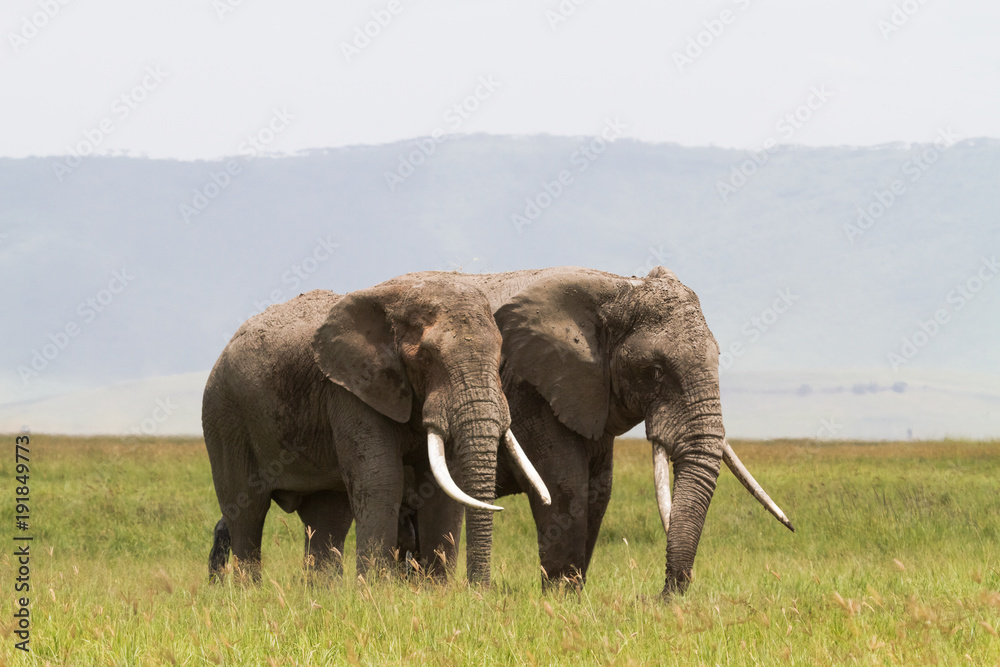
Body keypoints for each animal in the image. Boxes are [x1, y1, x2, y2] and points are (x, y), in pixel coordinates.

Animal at [202, 275, 549, 586]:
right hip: (224, 415)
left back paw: (323, 595)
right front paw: (376, 592)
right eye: (426, 356)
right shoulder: (352, 389)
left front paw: (437, 592)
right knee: (247, 510)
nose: (479, 592)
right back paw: (250, 594)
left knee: (327, 516)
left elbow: (442, 487)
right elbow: (382, 480)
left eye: (500, 356)